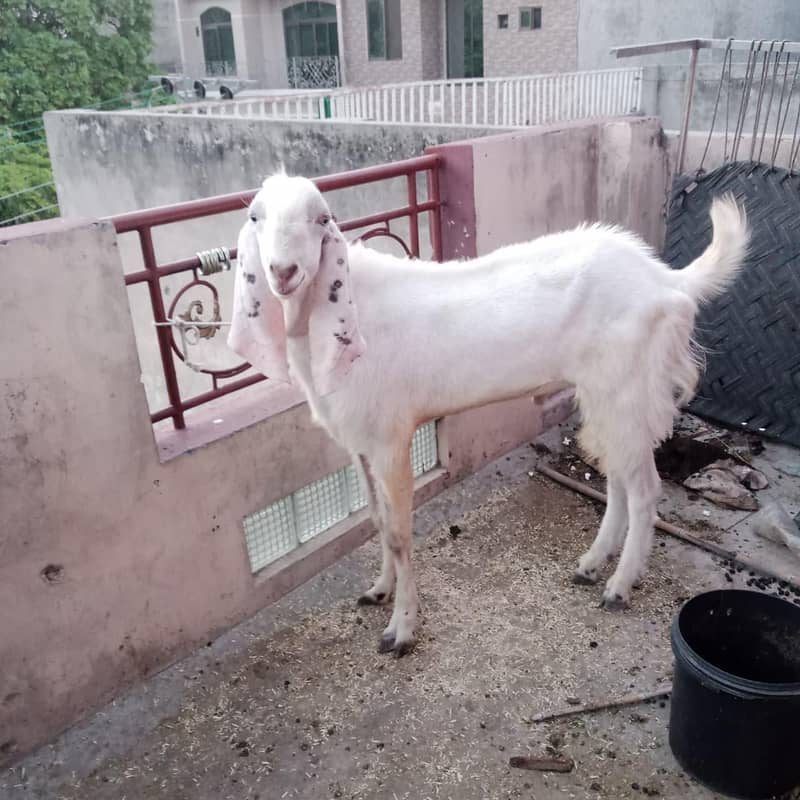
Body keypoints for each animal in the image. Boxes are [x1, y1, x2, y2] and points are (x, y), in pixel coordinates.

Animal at [229, 171, 748, 656]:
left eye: (322, 218)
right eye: (255, 216)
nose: (283, 272)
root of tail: (667, 281)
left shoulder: (391, 437)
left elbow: (398, 533)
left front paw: (401, 630)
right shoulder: (359, 443)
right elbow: (377, 521)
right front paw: (378, 590)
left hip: (628, 388)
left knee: (644, 490)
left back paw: (618, 587)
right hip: (606, 395)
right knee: (619, 477)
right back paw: (591, 564)